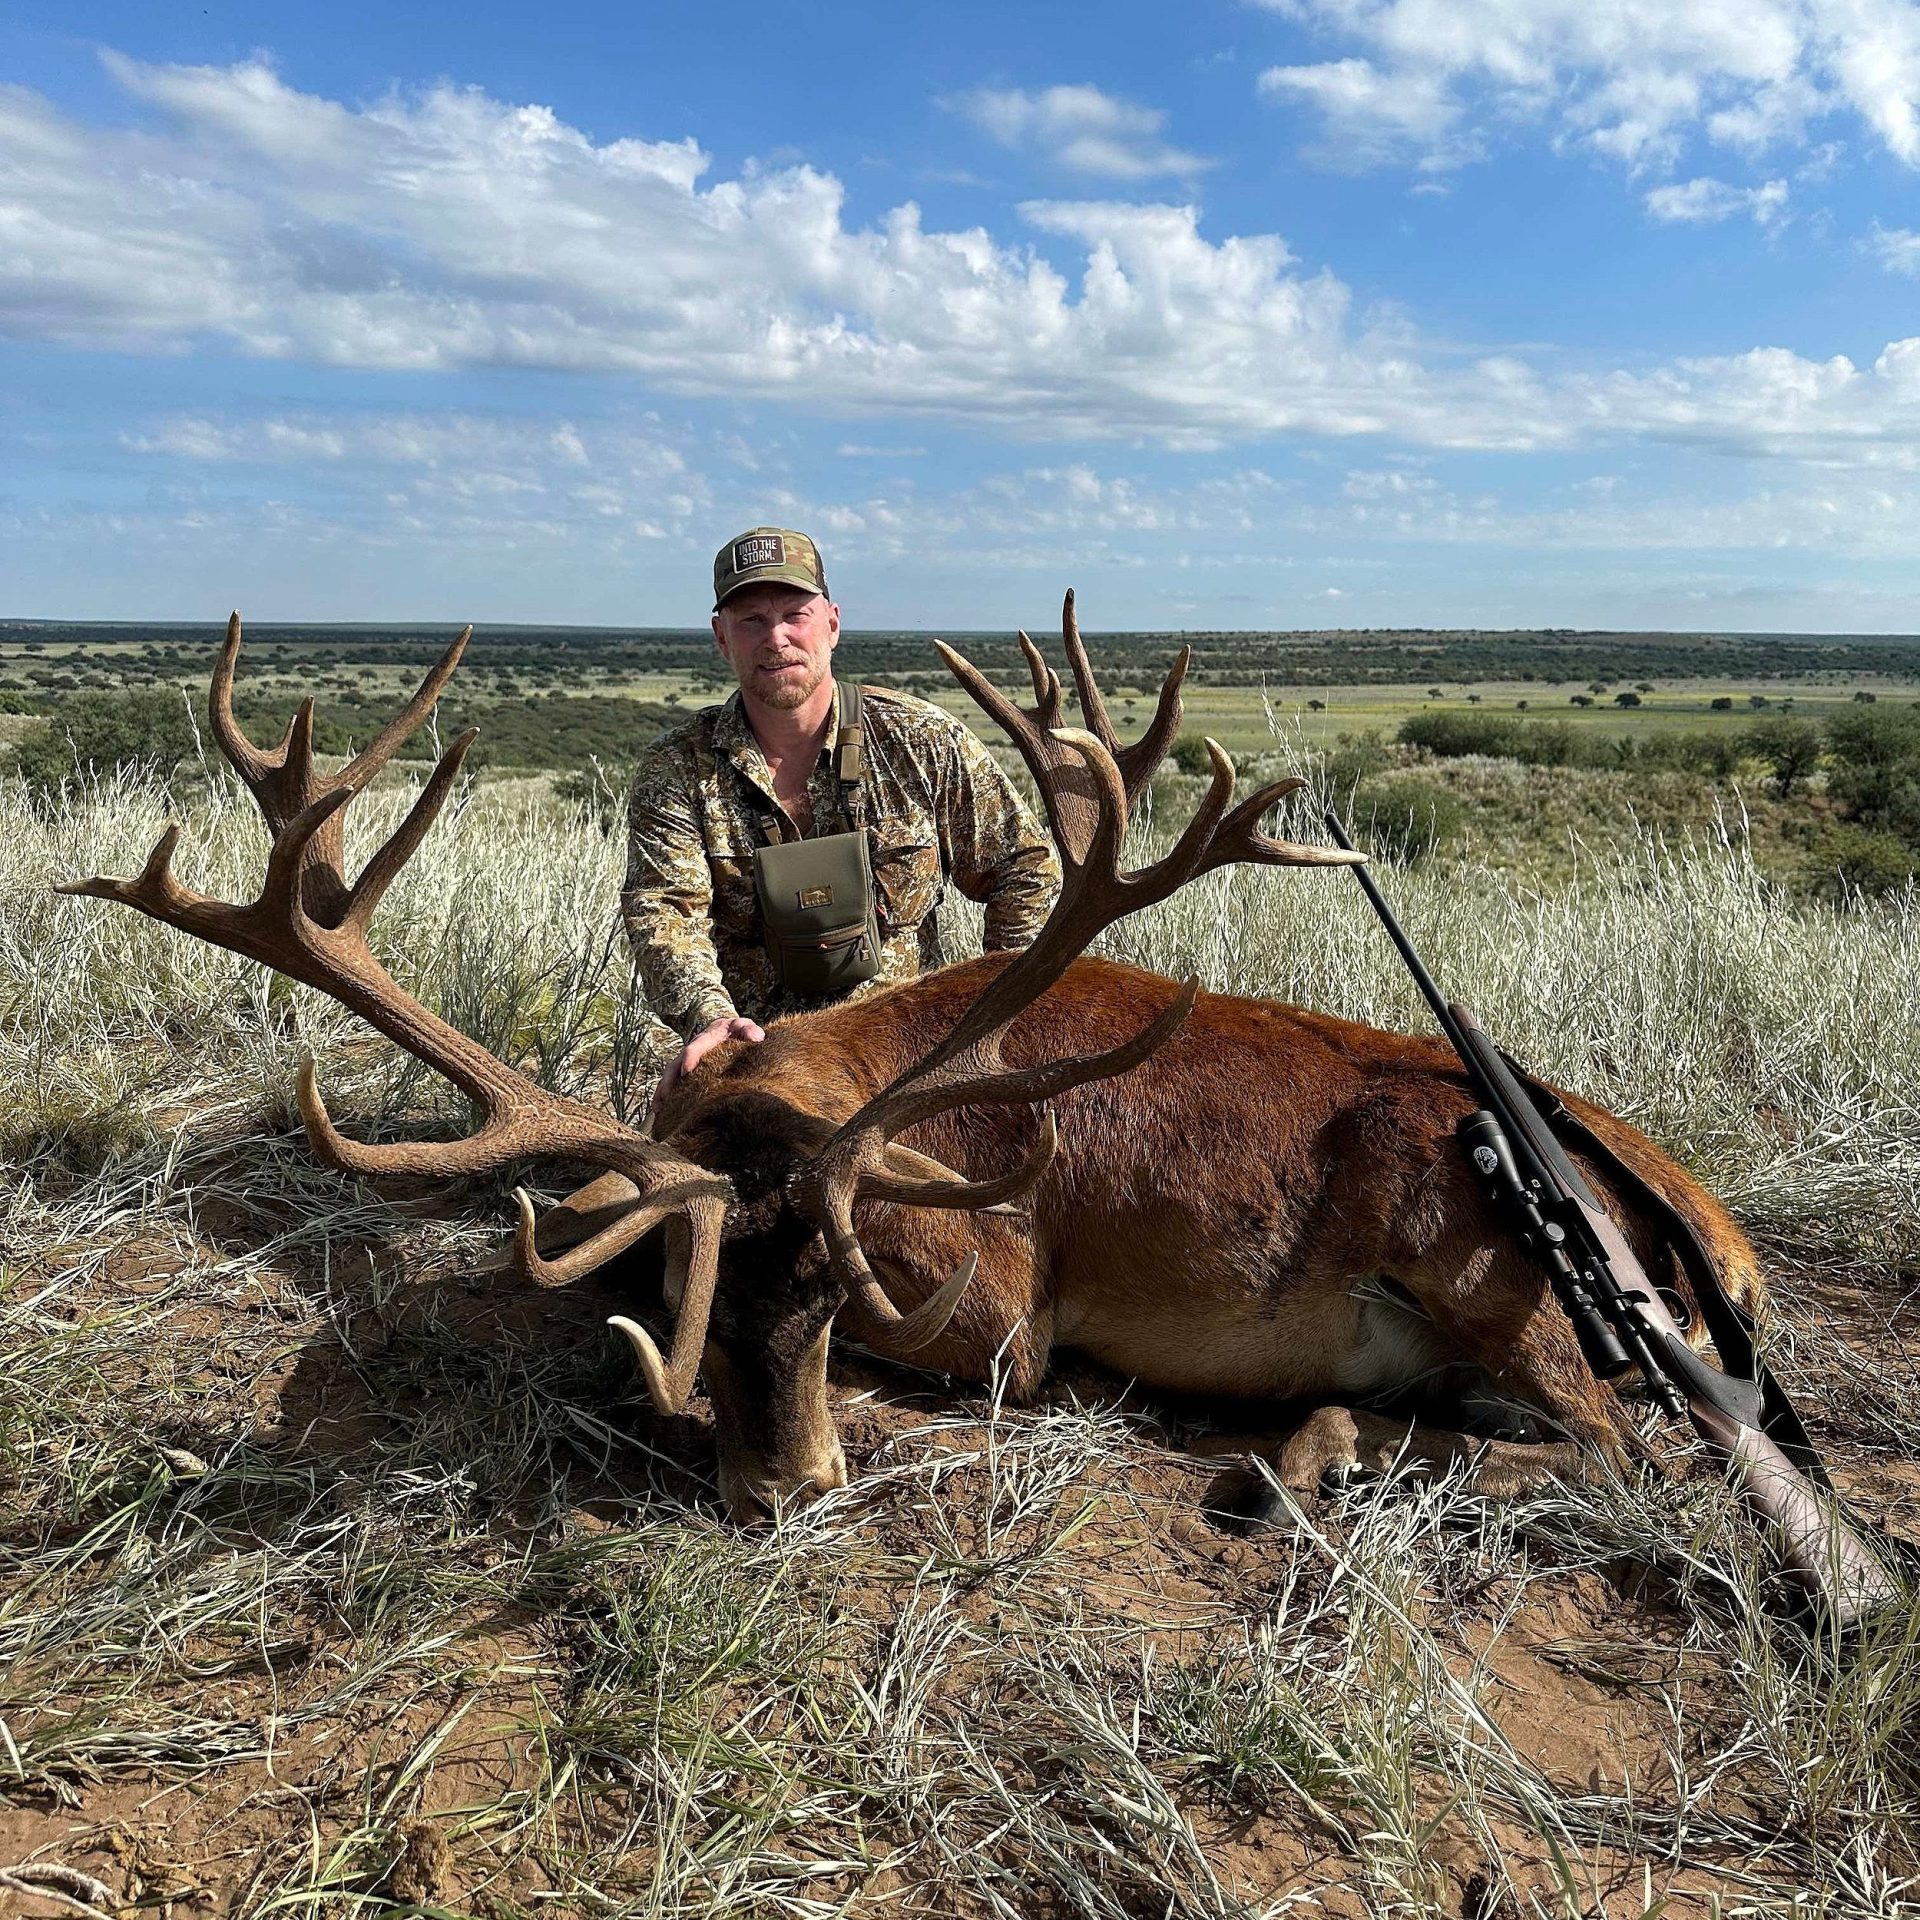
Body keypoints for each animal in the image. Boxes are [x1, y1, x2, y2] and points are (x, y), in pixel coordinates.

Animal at [61, 603, 1768, 1532]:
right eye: (705, 1303)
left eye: (833, 1296)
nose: (784, 1490)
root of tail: (1700, 1228)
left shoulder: (1003, 1310)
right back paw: (1326, 1445)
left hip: (1494, 1272)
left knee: (1628, 1453)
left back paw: (1307, 1463)